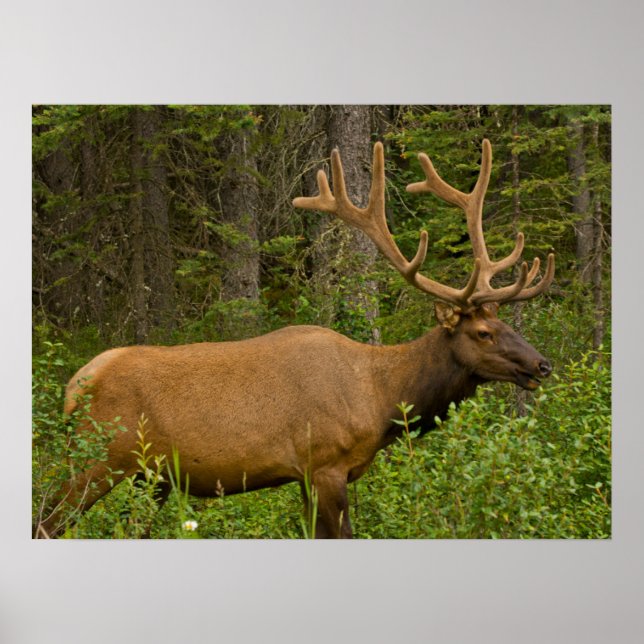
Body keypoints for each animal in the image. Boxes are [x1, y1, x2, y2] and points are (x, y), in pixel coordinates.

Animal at [35, 139, 555, 539]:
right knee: (47, 521)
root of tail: (74, 385)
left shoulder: (308, 476)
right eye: (483, 333)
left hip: (149, 477)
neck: (383, 398)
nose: (542, 364)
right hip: (95, 459)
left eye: (508, 325)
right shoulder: (325, 464)